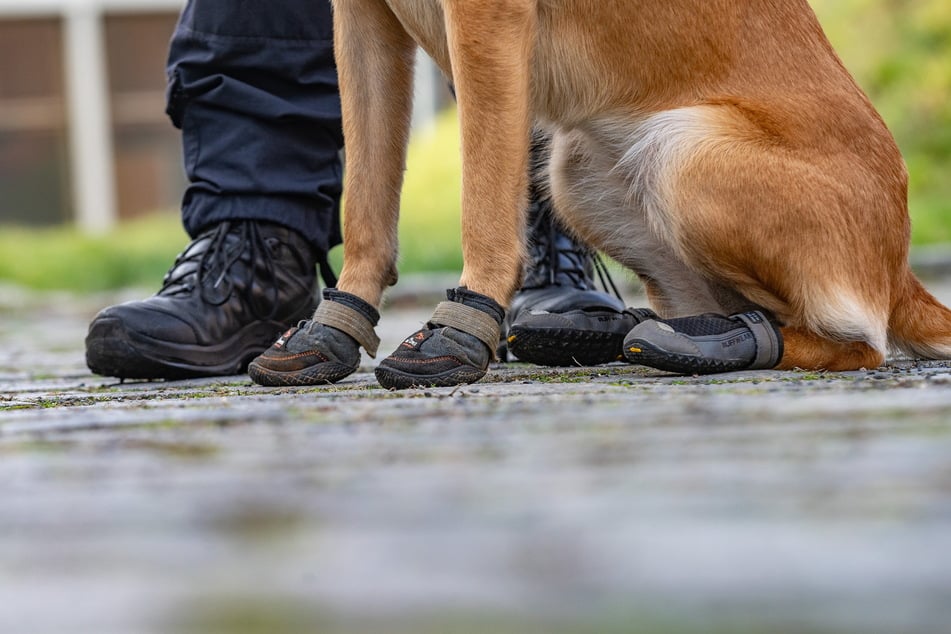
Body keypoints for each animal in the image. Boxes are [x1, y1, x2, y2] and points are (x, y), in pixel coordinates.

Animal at [251, 0, 951, 388]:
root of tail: (900, 272)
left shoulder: (488, 21)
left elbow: (483, 198)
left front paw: (460, 329)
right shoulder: (360, 18)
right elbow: (365, 203)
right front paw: (331, 331)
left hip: (680, 152)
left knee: (859, 343)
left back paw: (716, 346)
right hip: (579, 170)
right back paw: (646, 334)